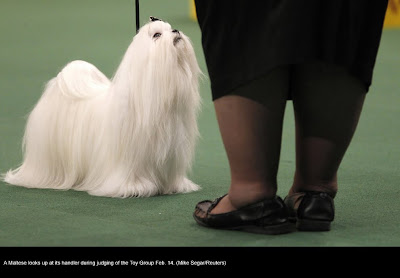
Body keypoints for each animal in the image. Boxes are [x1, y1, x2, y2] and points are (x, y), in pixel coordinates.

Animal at [3, 17, 202, 198]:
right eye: (157, 35)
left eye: (170, 28)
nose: (176, 30)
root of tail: (58, 86)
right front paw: (135, 188)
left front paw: (174, 186)